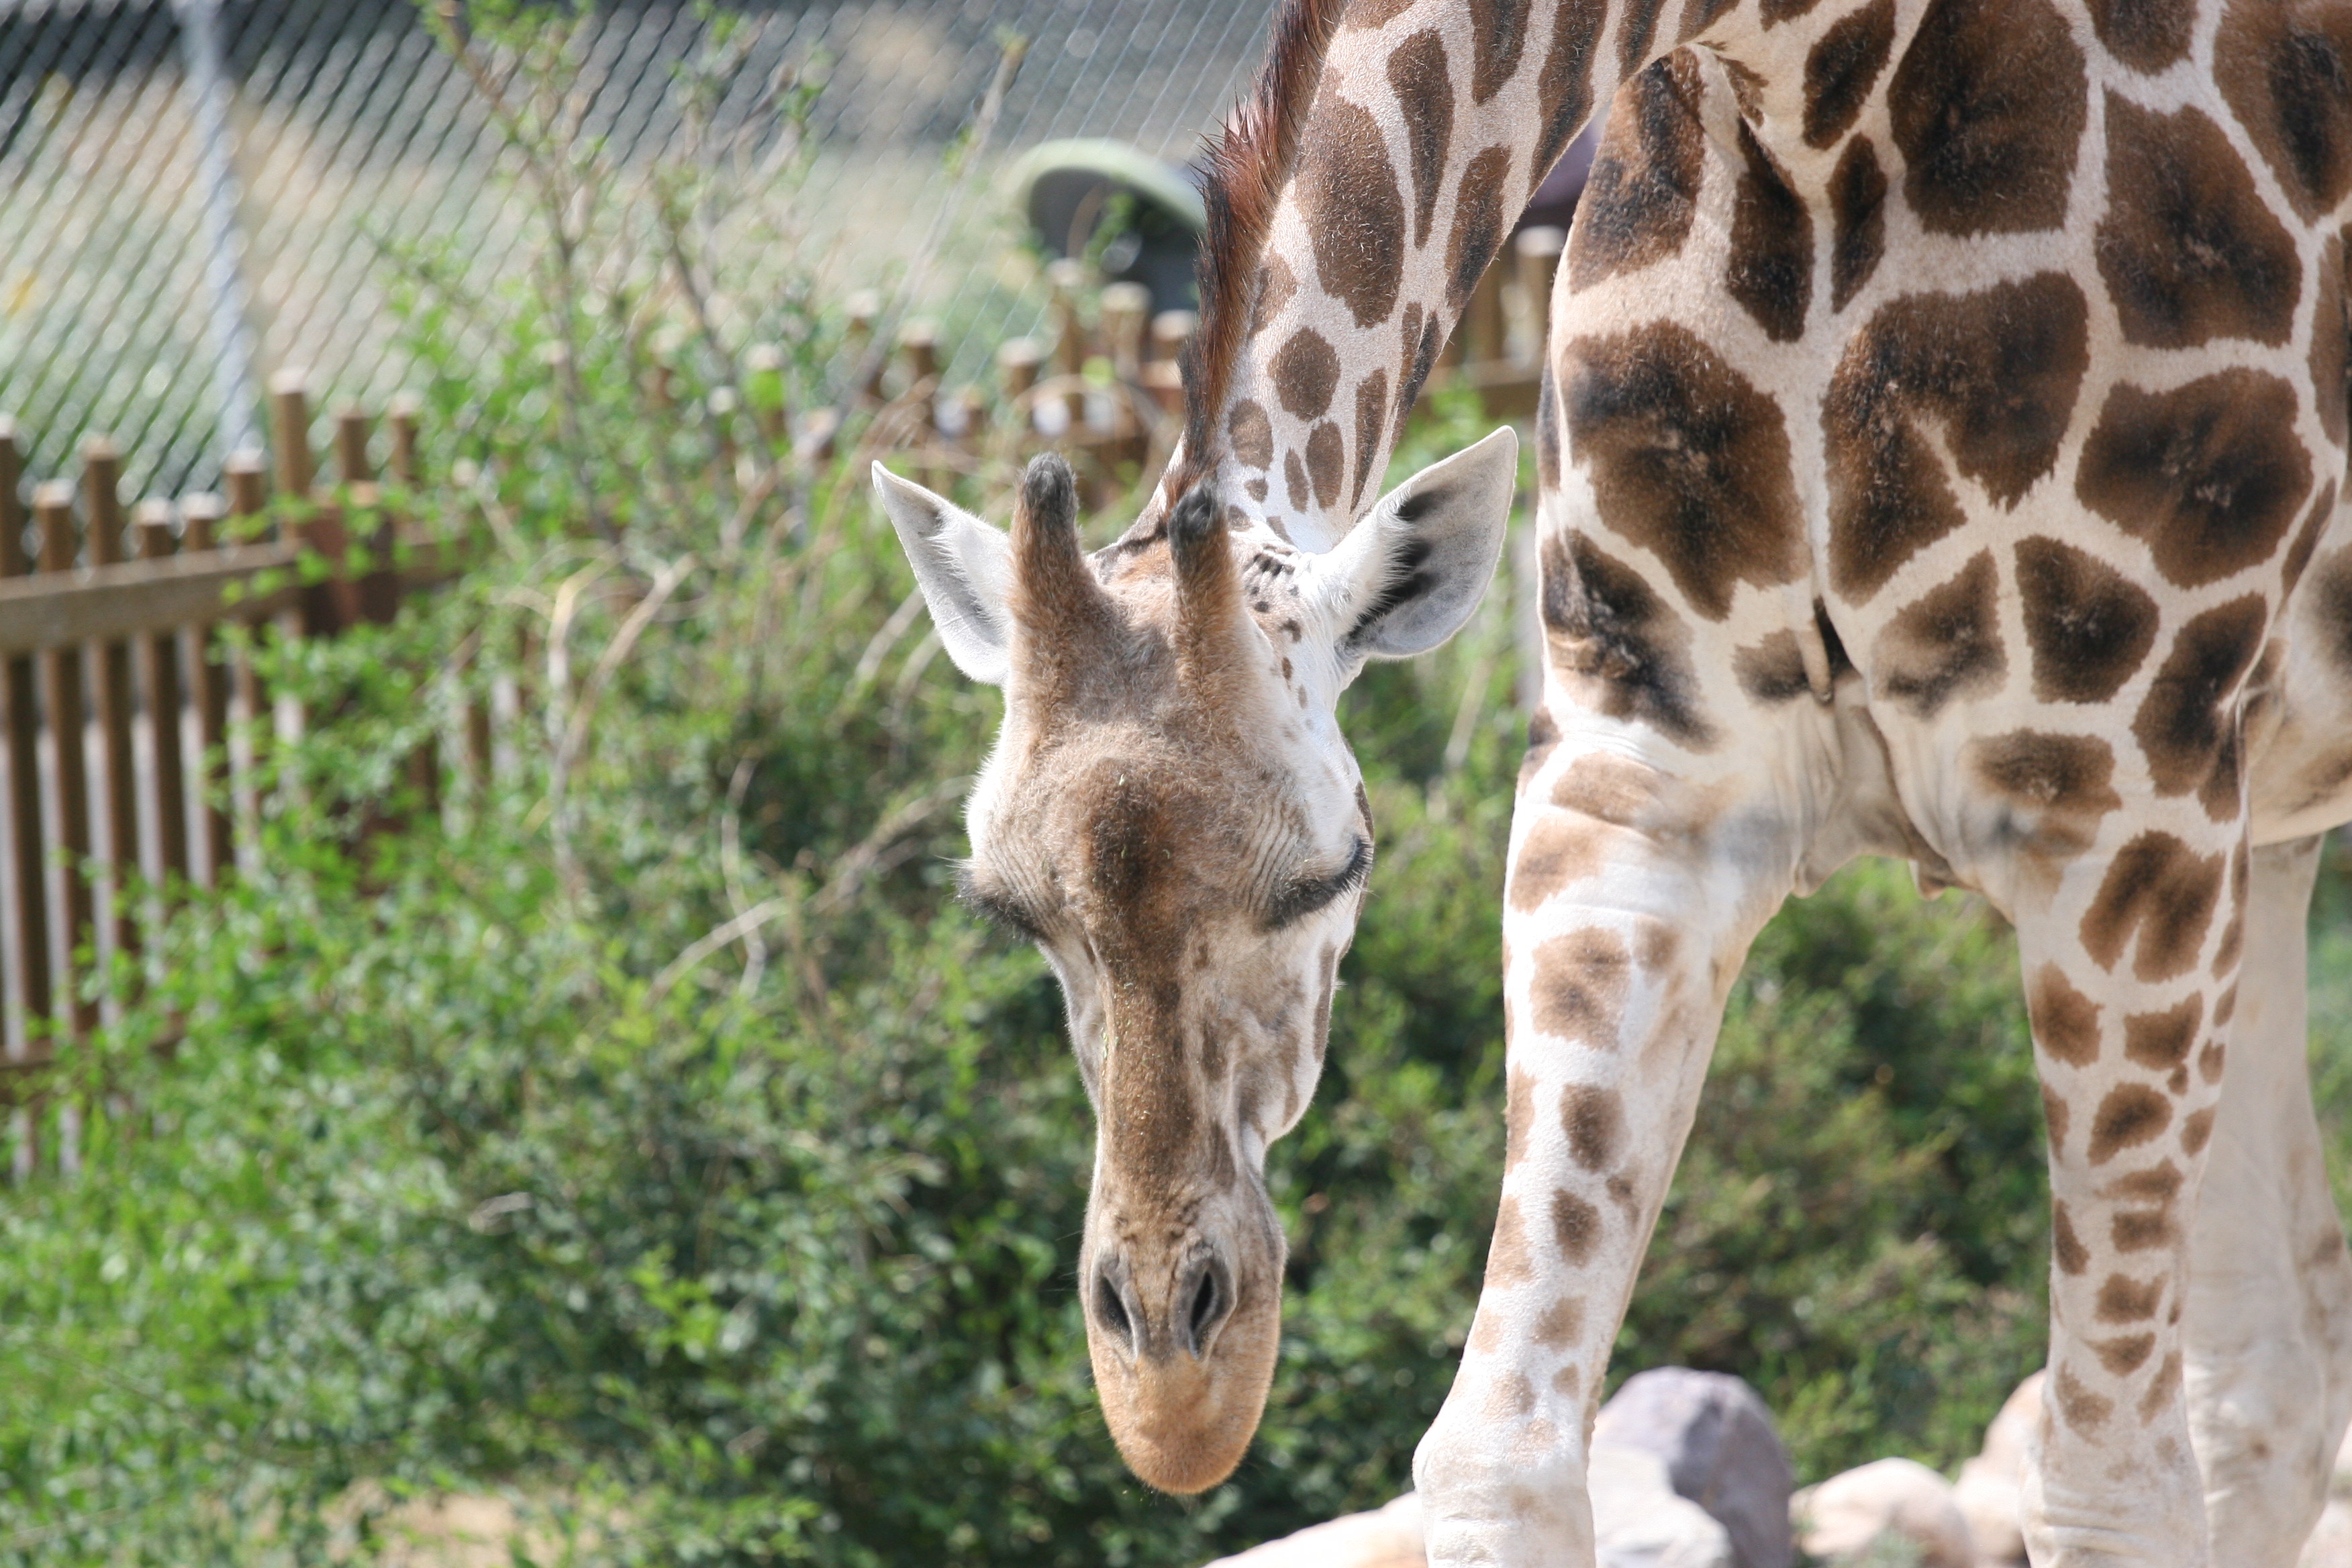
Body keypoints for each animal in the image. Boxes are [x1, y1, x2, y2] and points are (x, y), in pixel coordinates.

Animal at [870, 0, 2352, 1559]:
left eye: (1332, 874)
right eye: (1007, 909)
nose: (1171, 1386)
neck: (1797, 81)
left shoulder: (2123, 797)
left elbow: (2105, 1488)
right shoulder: (1640, 786)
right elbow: (1491, 1450)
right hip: (2259, 838)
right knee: (2271, 1374)